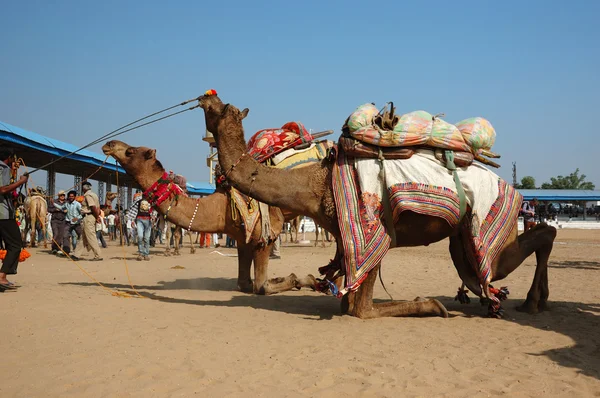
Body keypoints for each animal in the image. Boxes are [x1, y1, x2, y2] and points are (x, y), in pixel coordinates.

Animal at [101, 138, 316, 294]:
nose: (108, 144)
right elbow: (243, 283)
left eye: (130, 151)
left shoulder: (263, 236)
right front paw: (293, 279)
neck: (221, 207)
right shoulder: (242, 238)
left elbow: (261, 287)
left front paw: (305, 279)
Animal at [197, 91, 556, 318]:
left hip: (482, 229)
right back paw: (536, 302)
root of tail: (506, 184)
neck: (315, 183)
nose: (204, 97)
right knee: (538, 236)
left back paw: (531, 302)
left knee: (522, 249)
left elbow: (361, 310)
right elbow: (349, 300)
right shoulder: (345, 236)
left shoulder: (374, 231)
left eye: (221, 108)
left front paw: (430, 305)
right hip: (461, 240)